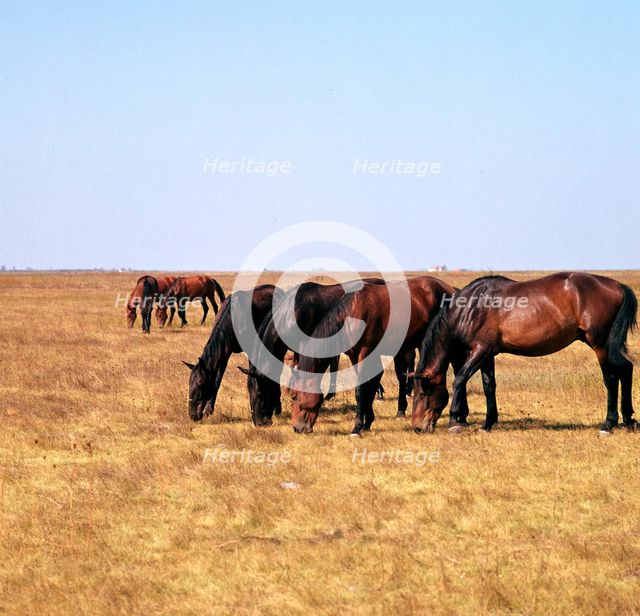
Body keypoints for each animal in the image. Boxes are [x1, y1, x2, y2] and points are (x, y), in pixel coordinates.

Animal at [182, 284, 282, 421]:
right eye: (189, 383)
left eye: (200, 384)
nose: (193, 415)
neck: (233, 317)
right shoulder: (224, 354)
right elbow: (217, 380)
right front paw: (209, 410)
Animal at [289, 276, 456, 435]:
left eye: (294, 396)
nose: (297, 428)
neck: (351, 315)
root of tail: (450, 288)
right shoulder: (355, 355)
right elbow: (369, 385)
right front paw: (367, 423)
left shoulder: (365, 352)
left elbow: (361, 390)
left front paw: (357, 427)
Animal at [410, 272, 637, 434]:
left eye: (422, 394)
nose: (417, 427)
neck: (472, 307)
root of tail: (617, 285)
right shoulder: (487, 354)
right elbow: (489, 386)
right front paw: (487, 423)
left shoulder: (480, 350)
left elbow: (459, 379)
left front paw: (454, 421)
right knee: (626, 369)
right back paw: (629, 420)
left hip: (600, 344)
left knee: (611, 378)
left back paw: (608, 424)